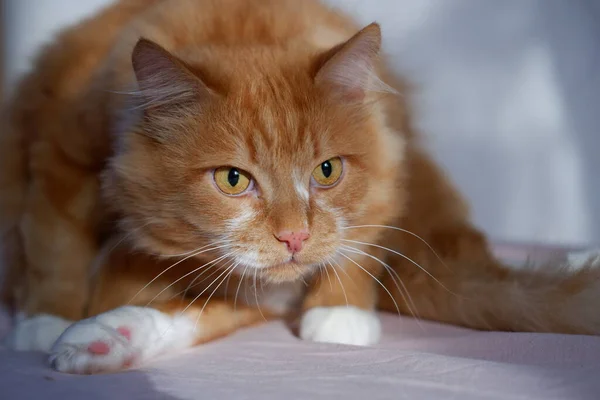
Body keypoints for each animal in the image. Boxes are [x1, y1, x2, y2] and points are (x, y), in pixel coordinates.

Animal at [1, 0, 600, 376]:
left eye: (327, 171)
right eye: (233, 179)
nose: (294, 238)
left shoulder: (378, 176)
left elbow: (354, 245)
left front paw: (339, 313)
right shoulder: (64, 150)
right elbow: (57, 245)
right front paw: (54, 324)